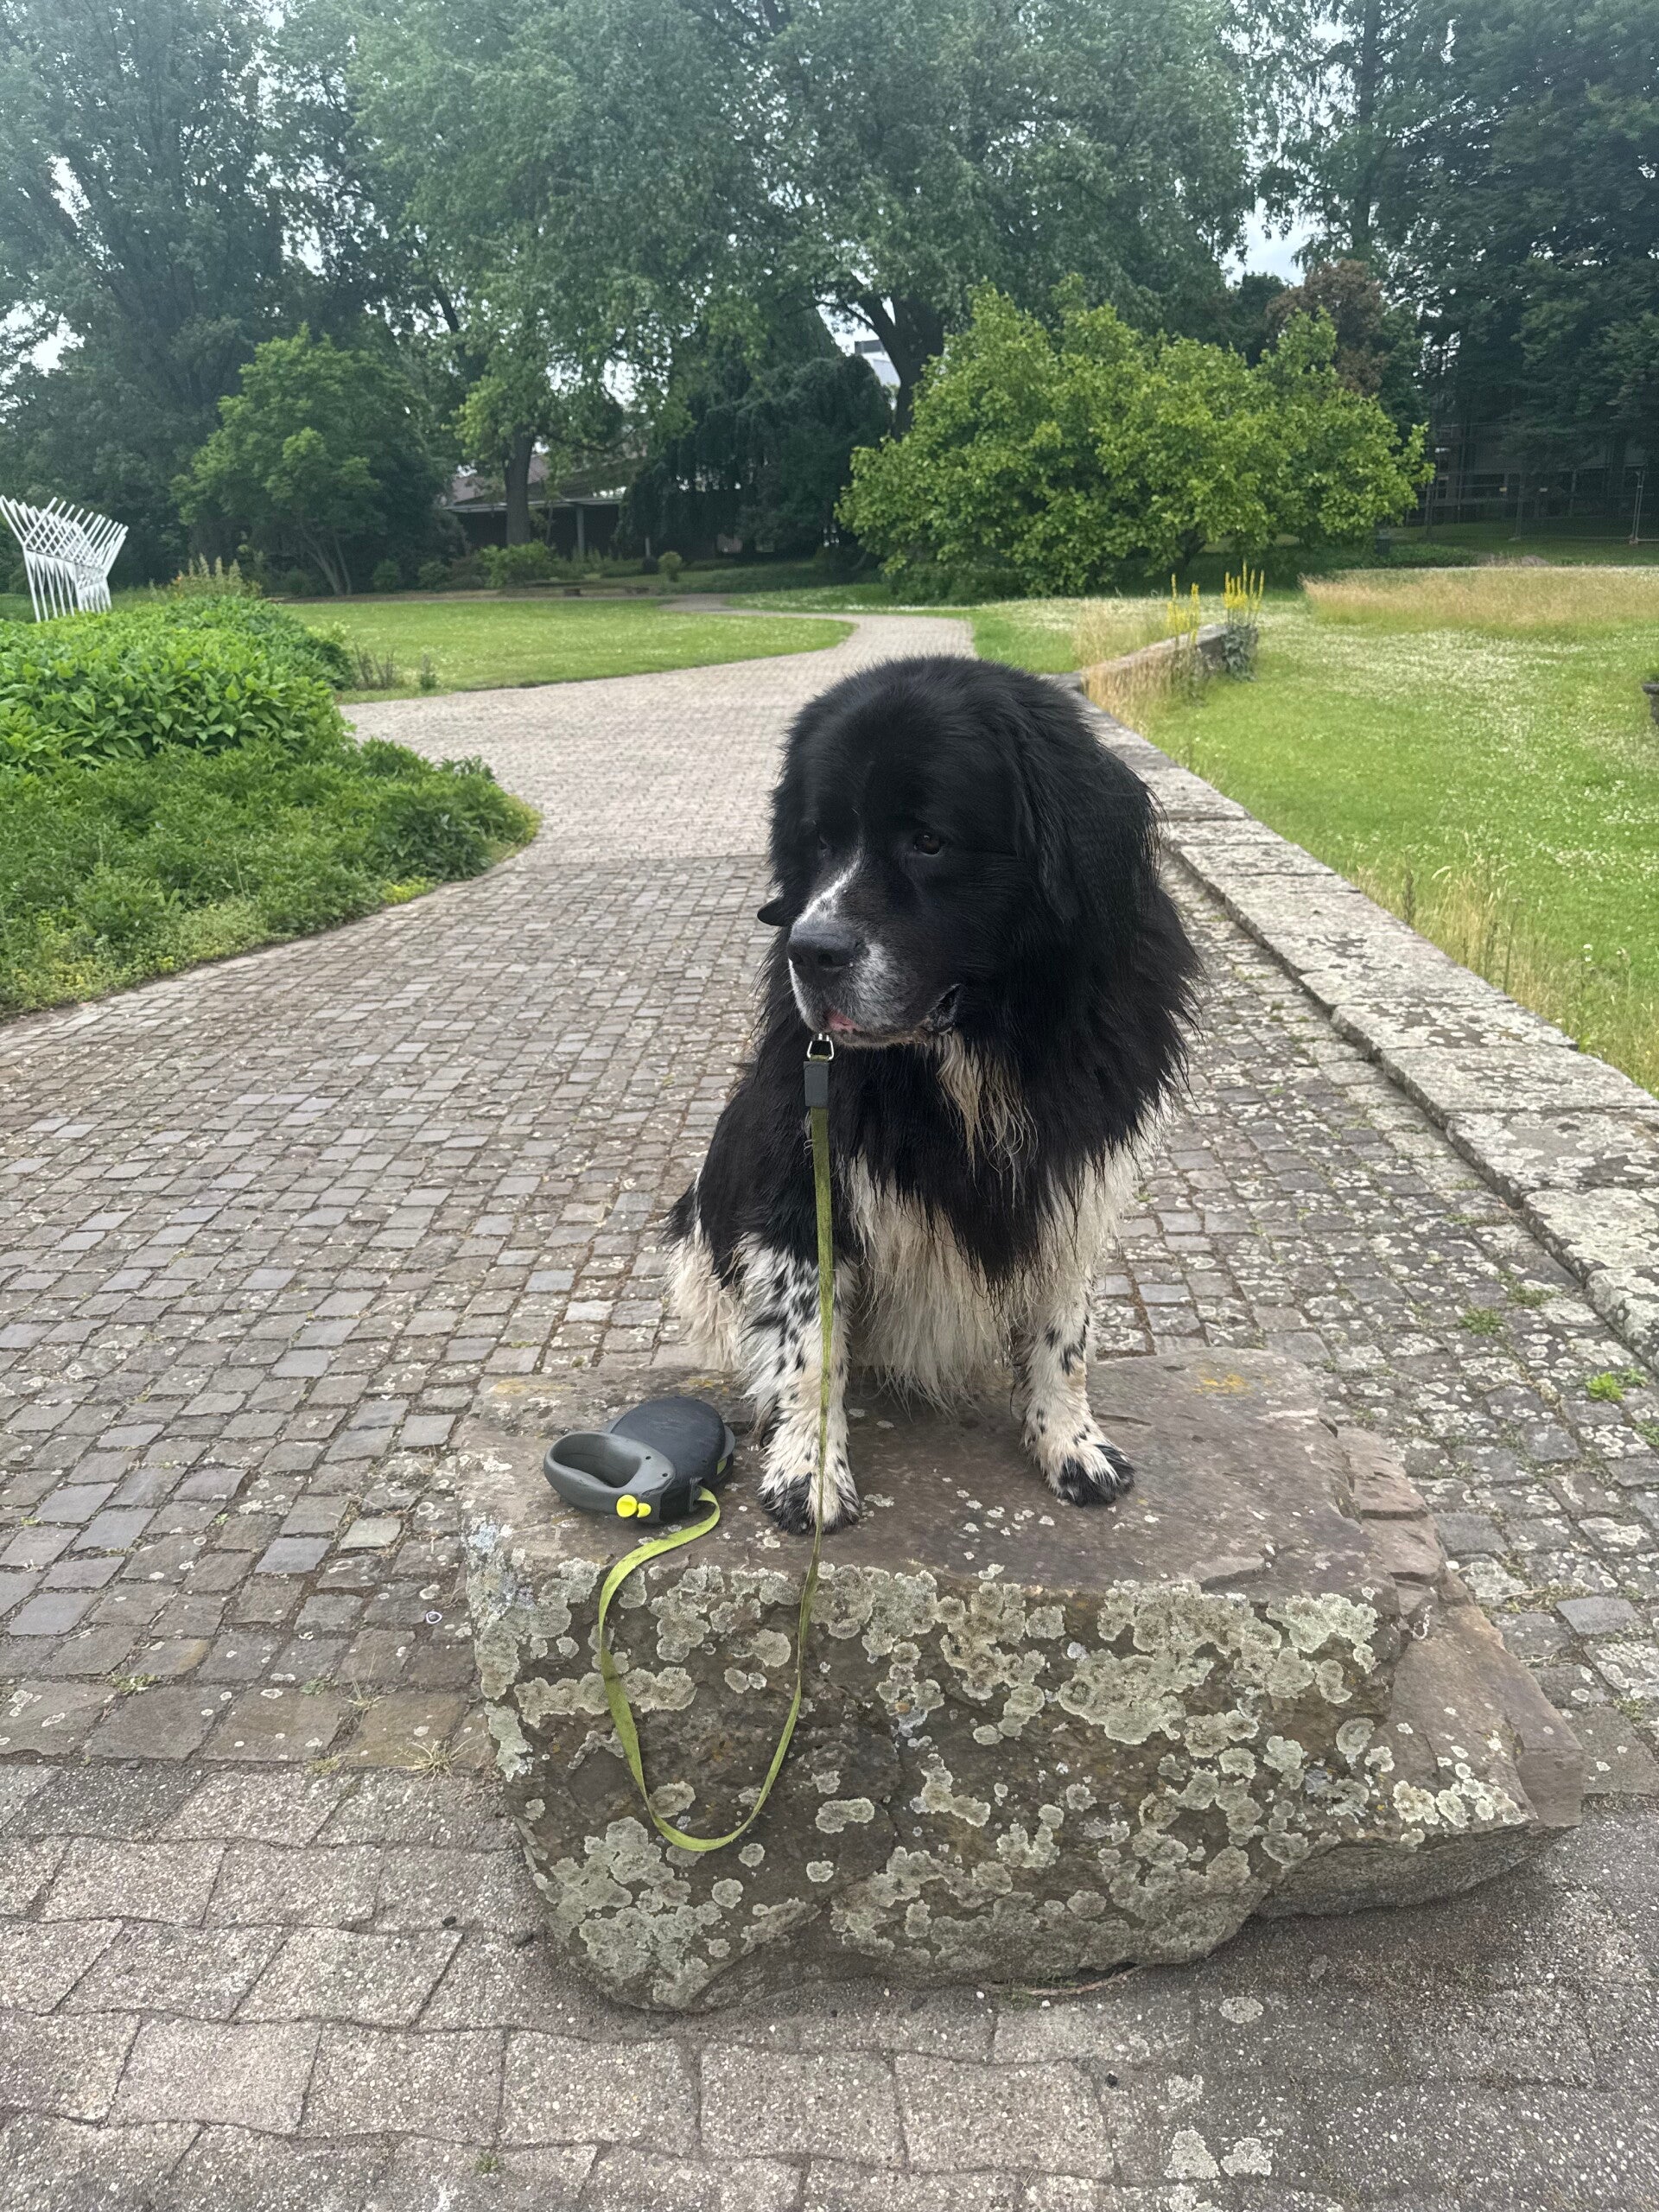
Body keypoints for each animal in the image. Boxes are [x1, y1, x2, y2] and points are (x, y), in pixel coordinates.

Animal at [667, 654, 1198, 1533]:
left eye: (928, 841)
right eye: (820, 841)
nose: (810, 951)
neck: (974, 1045)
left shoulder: (1074, 1183)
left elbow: (1066, 1336)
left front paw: (1071, 1445)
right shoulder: (801, 1180)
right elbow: (811, 1349)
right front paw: (809, 1473)